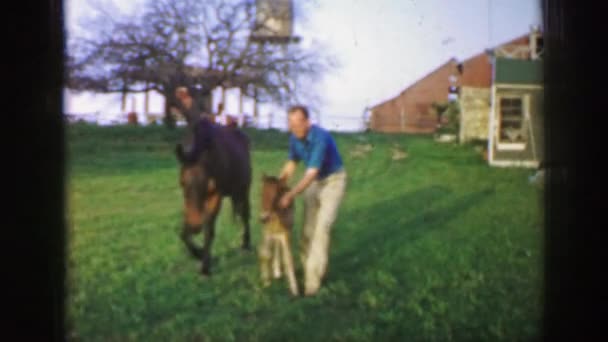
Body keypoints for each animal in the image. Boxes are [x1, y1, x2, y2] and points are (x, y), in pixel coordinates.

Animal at [176, 117, 252, 276]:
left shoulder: (216, 195)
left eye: (210, 186)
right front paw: (199, 253)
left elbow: (208, 230)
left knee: (245, 215)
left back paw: (246, 244)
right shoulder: (188, 206)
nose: (195, 226)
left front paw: (205, 266)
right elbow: (183, 234)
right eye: (182, 182)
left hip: (243, 190)